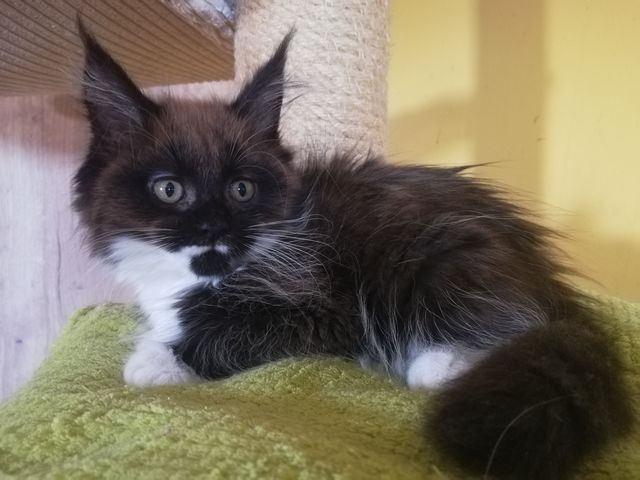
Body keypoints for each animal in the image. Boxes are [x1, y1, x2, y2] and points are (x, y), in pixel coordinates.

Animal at [74, 26, 632, 480]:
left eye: (241, 190)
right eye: (169, 190)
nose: (214, 227)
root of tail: (550, 284)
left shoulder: (318, 305)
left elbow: (227, 334)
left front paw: (156, 361)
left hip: (439, 260)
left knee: (502, 328)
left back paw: (437, 365)